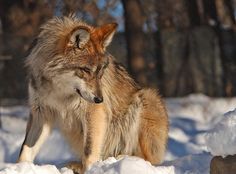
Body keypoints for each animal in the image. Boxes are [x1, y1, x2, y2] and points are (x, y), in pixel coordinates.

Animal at [18, 15, 169, 173]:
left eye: (101, 70)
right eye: (86, 70)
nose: (100, 99)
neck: (59, 91)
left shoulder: (93, 113)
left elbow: (89, 151)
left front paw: (92, 169)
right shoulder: (40, 113)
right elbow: (25, 149)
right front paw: (20, 167)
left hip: (146, 98)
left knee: (147, 159)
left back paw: (123, 159)